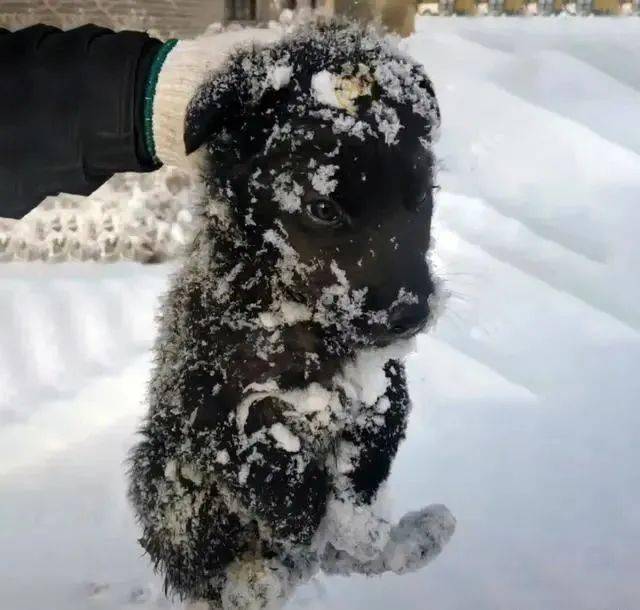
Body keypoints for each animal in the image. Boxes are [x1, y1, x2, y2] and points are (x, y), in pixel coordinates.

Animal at [129, 21, 456, 604]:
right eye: (323, 208)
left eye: (421, 197)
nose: (411, 316)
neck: (301, 318)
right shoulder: (204, 394)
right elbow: (253, 455)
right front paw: (299, 515)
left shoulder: (381, 379)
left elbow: (378, 436)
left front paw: (352, 519)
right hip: (161, 478)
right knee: (210, 571)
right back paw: (257, 579)